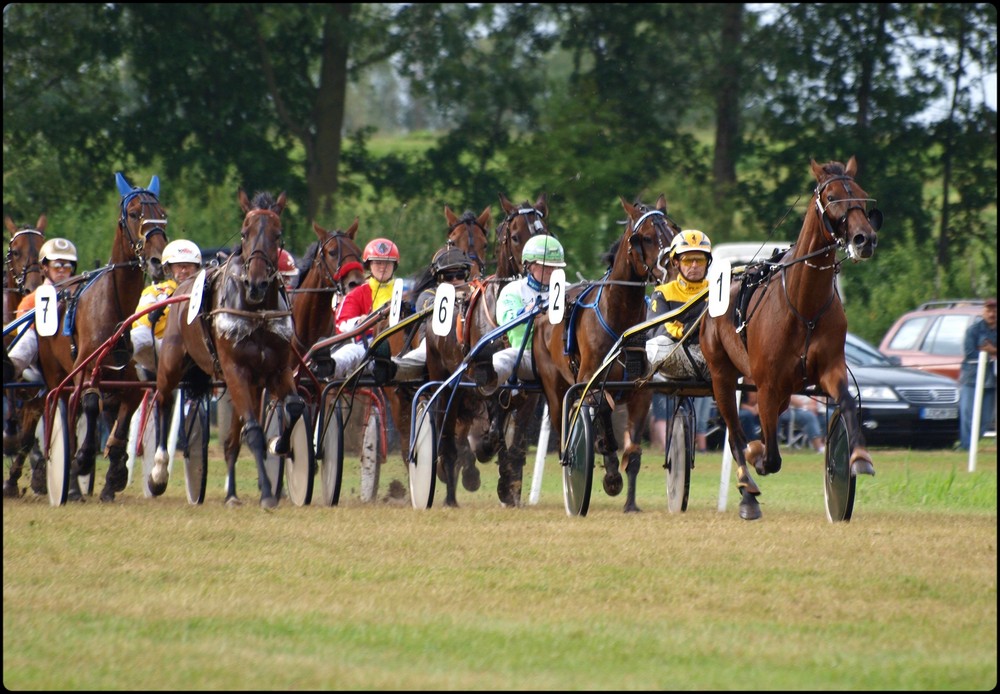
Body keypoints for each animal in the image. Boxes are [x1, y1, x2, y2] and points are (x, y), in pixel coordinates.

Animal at [37, 171, 168, 502]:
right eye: (133, 213)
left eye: (162, 214)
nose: (158, 261)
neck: (116, 306)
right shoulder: (84, 371)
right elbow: (89, 406)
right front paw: (82, 461)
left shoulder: (130, 378)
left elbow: (122, 420)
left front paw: (116, 473)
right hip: (56, 374)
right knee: (66, 411)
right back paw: (69, 482)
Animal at [150, 190, 294, 512]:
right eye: (244, 232)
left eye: (278, 235)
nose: (256, 284)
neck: (256, 311)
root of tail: (181, 286)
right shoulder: (235, 369)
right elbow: (253, 430)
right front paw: (268, 493)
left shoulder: (278, 370)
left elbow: (294, 407)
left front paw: (281, 444)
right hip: (171, 362)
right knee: (163, 400)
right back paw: (158, 472)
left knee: (231, 441)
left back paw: (231, 494)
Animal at [532, 193, 680, 512]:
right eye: (645, 237)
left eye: (673, 231)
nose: (673, 269)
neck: (620, 319)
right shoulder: (591, 383)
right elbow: (602, 425)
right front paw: (610, 473)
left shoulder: (640, 392)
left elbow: (633, 450)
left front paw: (630, 503)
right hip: (554, 387)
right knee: (564, 428)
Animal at [700, 155, 880, 520]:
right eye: (831, 197)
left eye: (861, 193)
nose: (864, 239)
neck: (803, 305)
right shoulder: (768, 385)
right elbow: (769, 457)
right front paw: (756, 459)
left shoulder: (828, 369)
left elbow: (847, 402)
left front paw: (858, 458)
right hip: (721, 375)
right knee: (734, 433)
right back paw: (747, 490)